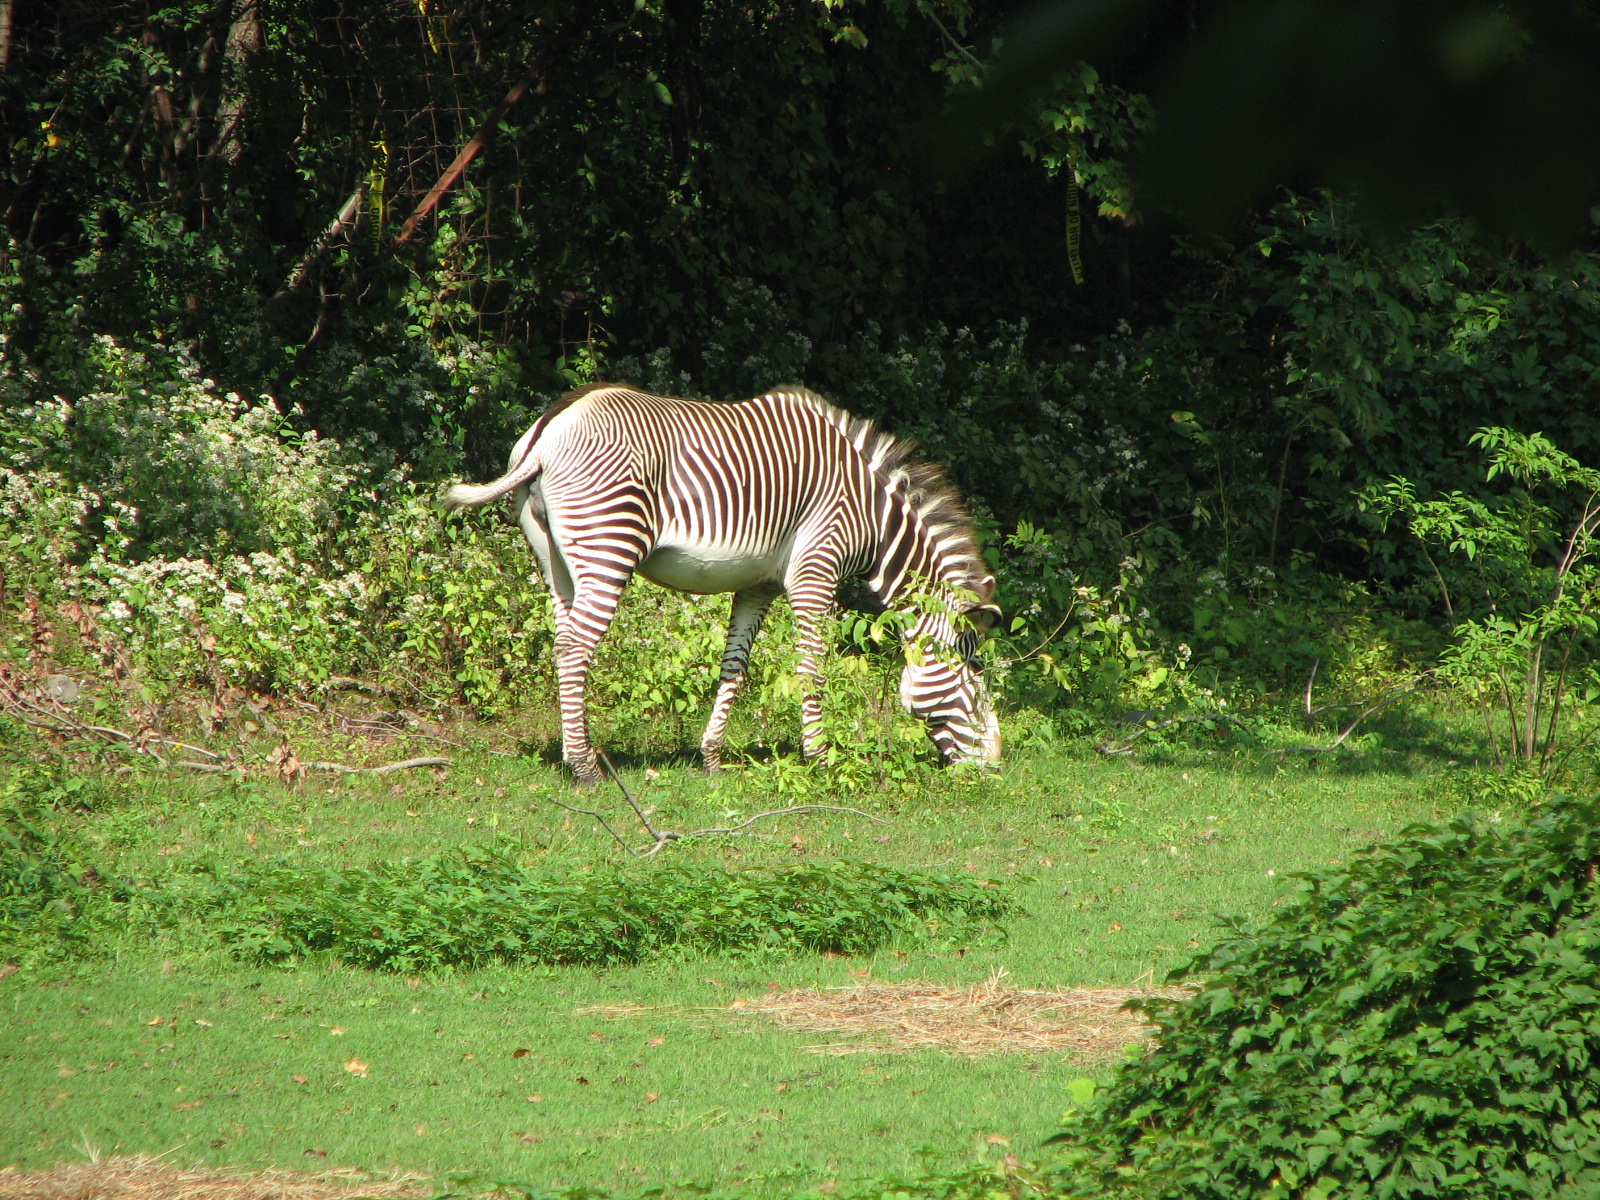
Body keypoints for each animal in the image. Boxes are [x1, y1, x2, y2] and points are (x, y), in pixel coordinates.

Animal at [442, 383, 1002, 785]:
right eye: (976, 672)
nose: (994, 767)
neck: (873, 516)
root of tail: (550, 425)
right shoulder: (815, 570)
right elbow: (813, 670)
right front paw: (820, 758)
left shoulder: (759, 584)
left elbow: (735, 664)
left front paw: (711, 758)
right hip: (610, 543)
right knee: (577, 646)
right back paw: (585, 769)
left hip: (554, 558)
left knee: (562, 641)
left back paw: (570, 754)